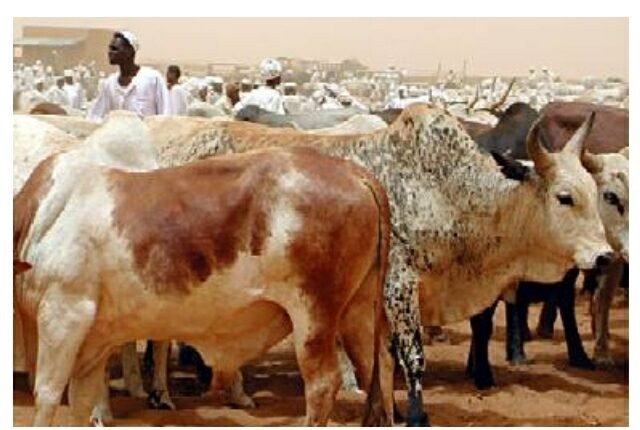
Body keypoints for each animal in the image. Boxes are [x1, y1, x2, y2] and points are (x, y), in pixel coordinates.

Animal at [14, 135, 394, 426]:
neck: (40, 214)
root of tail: (352, 171)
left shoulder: (64, 315)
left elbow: (47, 395)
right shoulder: (95, 340)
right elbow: (80, 403)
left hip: (313, 314)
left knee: (323, 384)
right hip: (359, 312)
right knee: (380, 371)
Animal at [139, 104, 611, 425]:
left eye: (597, 192)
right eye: (564, 197)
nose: (605, 256)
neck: (447, 191)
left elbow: (380, 362)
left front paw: (391, 410)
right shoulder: (400, 285)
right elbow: (410, 357)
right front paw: (417, 416)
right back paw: (169, 390)